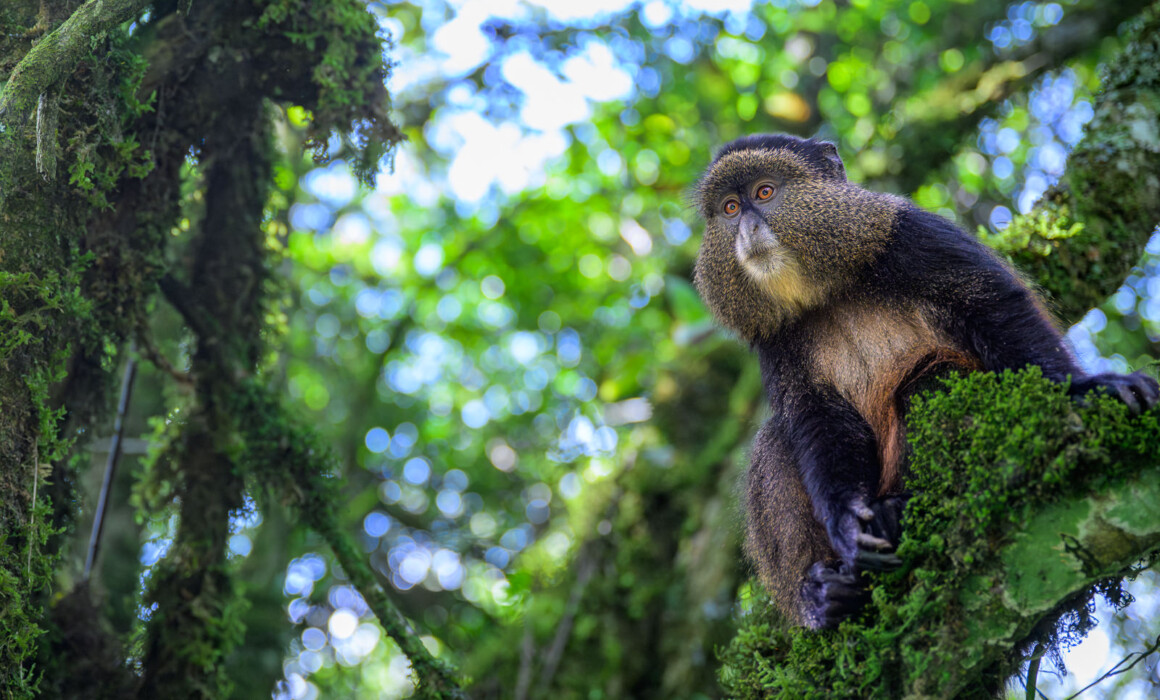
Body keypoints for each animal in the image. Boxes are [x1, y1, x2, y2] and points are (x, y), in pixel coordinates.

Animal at [692, 133, 1160, 629]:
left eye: (764, 192)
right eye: (729, 208)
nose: (746, 229)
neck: (827, 289)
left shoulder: (909, 233)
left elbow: (997, 307)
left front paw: (1085, 389)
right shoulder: (774, 338)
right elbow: (815, 418)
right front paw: (847, 525)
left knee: (933, 378)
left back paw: (902, 508)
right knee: (774, 441)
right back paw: (822, 596)